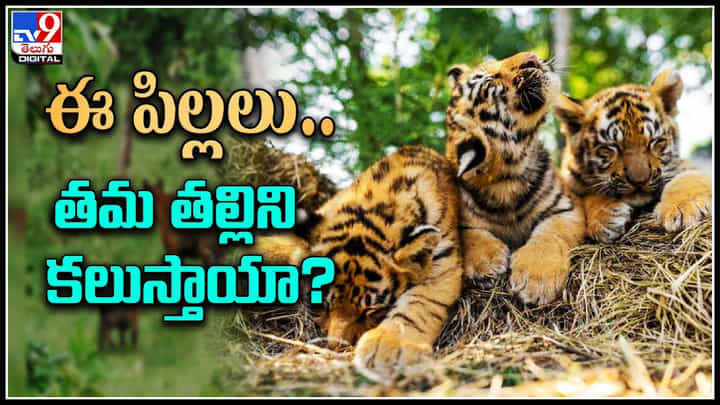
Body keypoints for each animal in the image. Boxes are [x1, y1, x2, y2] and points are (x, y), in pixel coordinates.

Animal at [253, 145, 463, 375]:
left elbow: (418, 305)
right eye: (323, 304)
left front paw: (387, 347)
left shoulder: (444, 262)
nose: (335, 346)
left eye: (370, 311)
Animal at [445, 51, 586, 306]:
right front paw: (487, 263)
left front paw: (537, 280)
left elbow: (550, 234)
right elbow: (467, 234)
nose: (531, 57)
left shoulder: (565, 209)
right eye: (491, 80)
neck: (506, 179)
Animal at [553, 69, 712, 242]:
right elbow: (589, 195)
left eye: (656, 142)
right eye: (611, 148)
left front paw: (681, 208)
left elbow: (689, 178)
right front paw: (605, 217)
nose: (639, 181)